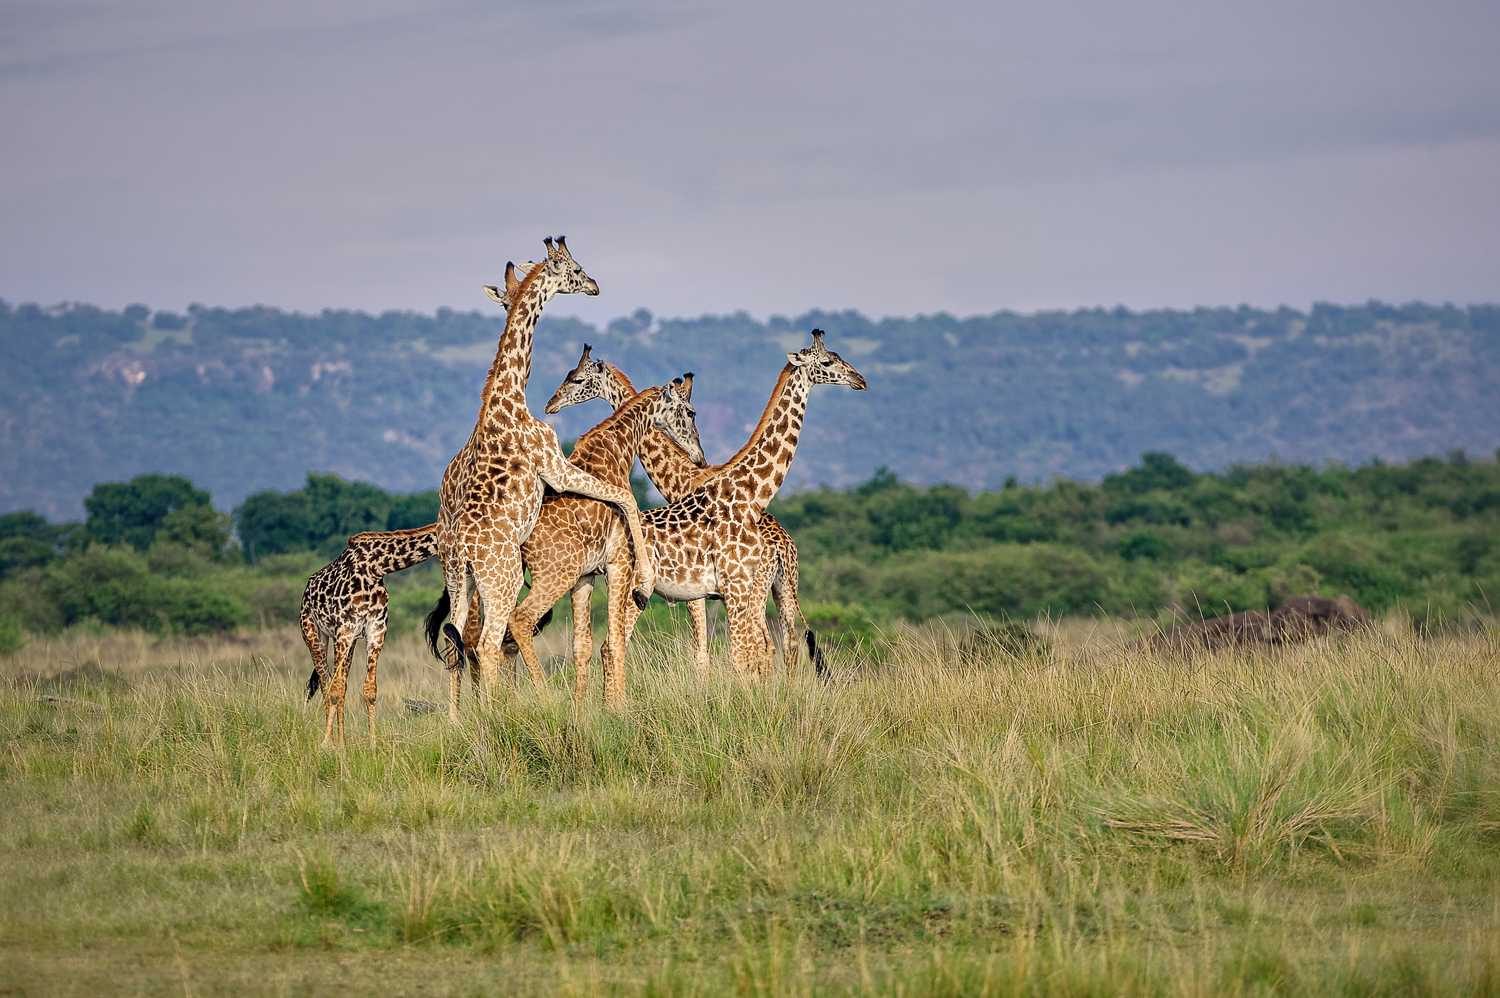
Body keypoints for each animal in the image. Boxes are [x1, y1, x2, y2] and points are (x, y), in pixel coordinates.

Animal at [300, 525, 436, 745]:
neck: (376, 568)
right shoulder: (345, 630)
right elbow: (334, 689)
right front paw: (329, 745)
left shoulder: (376, 630)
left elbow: (369, 690)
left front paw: (371, 744)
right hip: (313, 634)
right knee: (325, 684)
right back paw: (333, 741)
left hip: (346, 642)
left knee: (340, 684)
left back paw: (341, 741)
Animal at [431, 236, 655, 721]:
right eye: (575, 268)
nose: (594, 284)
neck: (509, 395)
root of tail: (463, 549)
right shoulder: (554, 466)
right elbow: (623, 496)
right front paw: (644, 584)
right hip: (503, 580)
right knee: (490, 640)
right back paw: (498, 715)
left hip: (459, 580)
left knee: (456, 637)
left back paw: (459, 718)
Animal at [505, 377, 703, 703]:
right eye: (690, 412)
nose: (699, 457)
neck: (619, 447)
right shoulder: (618, 562)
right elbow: (615, 640)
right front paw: (618, 706)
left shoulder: (586, 576)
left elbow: (582, 645)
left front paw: (583, 707)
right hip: (556, 574)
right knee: (519, 619)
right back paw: (545, 698)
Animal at [544, 347, 805, 675]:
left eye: (577, 378)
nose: (551, 404)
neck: (682, 477)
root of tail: (783, 545)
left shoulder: (699, 588)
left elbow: (702, 651)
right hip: (783, 586)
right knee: (786, 643)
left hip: (756, 587)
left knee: (764, 644)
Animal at [599, 329, 866, 681]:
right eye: (826, 362)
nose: (860, 379)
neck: (747, 494)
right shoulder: (732, 586)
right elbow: (738, 656)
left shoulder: (733, 589)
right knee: (609, 645)